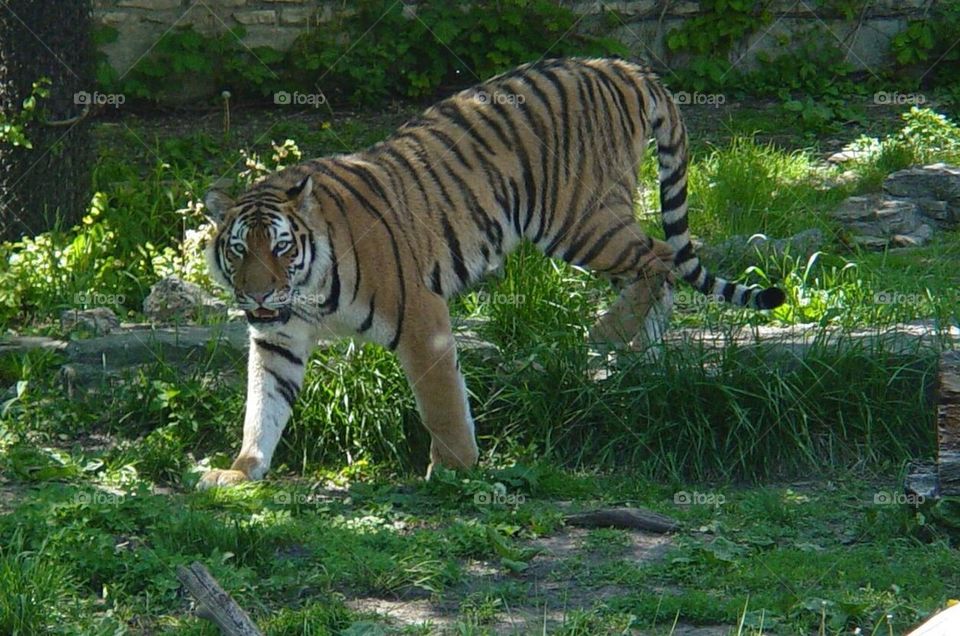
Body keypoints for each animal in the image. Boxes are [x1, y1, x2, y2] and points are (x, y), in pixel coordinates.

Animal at [197, 57, 785, 489]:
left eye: (280, 248)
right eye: (239, 251)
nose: (257, 296)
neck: (306, 293)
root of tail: (619, 65)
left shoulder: (420, 316)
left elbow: (442, 402)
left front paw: (453, 470)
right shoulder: (277, 340)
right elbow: (262, 406)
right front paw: (240, 471)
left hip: (578, 219)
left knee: (661, 256)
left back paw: (609, 334)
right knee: (655, 272)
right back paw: (640, 350)